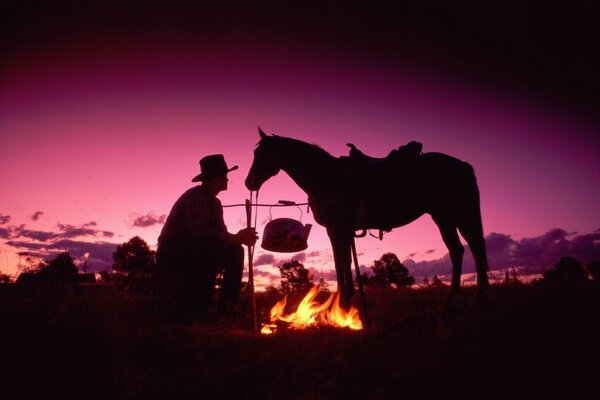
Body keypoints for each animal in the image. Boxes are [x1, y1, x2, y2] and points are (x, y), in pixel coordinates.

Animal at [246, 130, 490, 304]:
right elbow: (339, 262)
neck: (325, 176)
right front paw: (343, 297)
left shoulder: (340, 228)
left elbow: (344, 261)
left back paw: (480, 296)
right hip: (443, 217)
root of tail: (462, 166)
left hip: (460, 215)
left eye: (261, 154)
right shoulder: (334, 230)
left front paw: (345, 300)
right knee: (457, 250)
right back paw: (451, 297)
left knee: (475, 247)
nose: (249, 183)